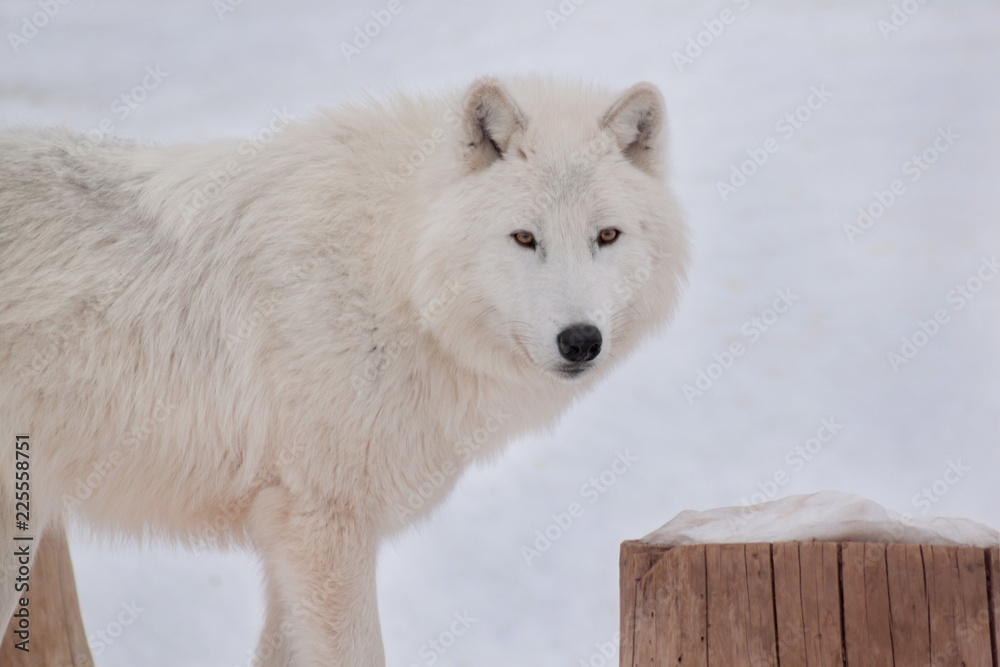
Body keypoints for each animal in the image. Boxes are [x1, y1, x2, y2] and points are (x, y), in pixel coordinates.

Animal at [0, 76, 687, 665]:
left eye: (607, 235)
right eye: (524, 238)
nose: (581, 341)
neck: (390, 273)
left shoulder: (290, 537)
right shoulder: (324, 528)